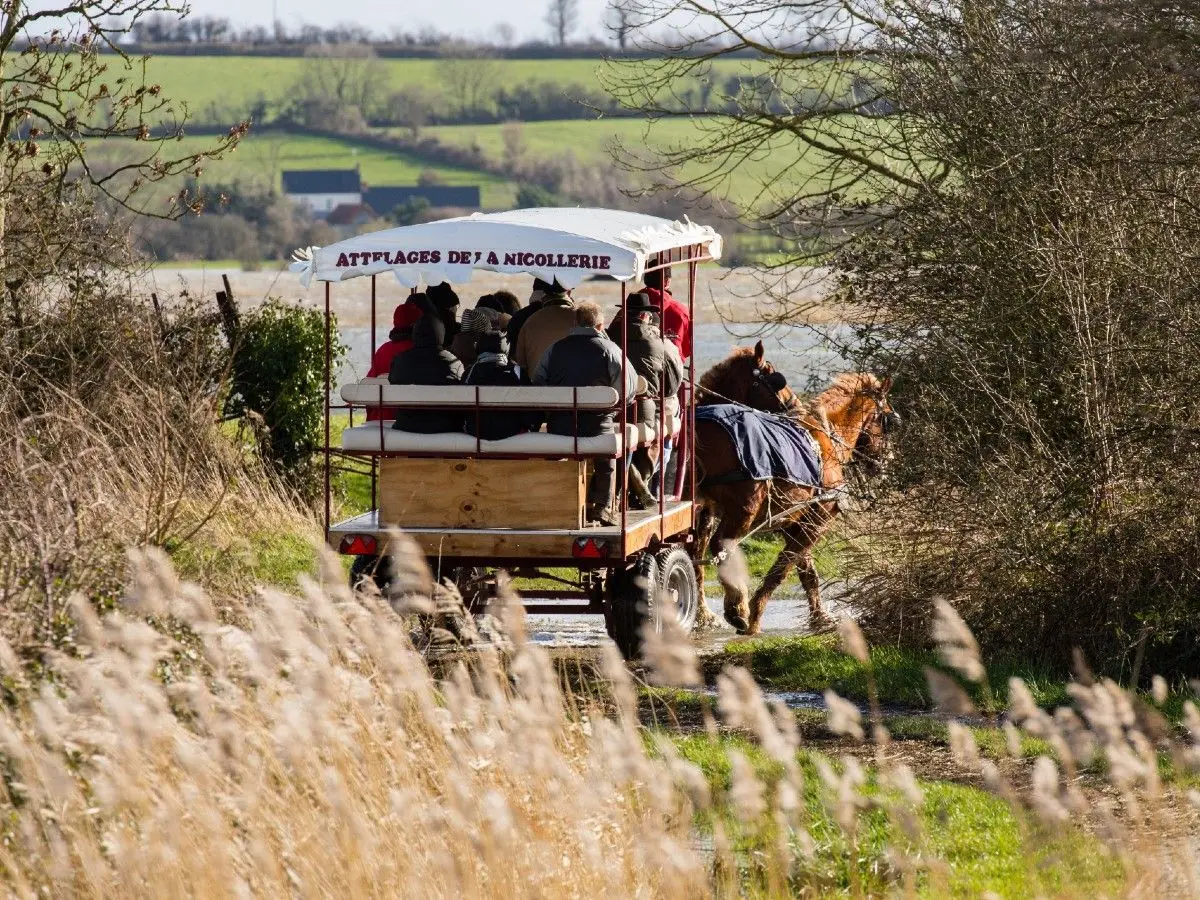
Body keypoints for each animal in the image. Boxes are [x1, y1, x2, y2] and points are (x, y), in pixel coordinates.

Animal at [688, 341, 899, 635]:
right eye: (886, 420)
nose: (886, 459)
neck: (829, 435)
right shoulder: (820, 517)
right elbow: (783, 567)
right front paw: (755, 614)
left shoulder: (794, 520)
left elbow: (806, 569)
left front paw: (820, 617)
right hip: (743, 509)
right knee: (721, 546)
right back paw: (736, 607)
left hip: (705, 511)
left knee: (695, 555)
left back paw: (703, 614)